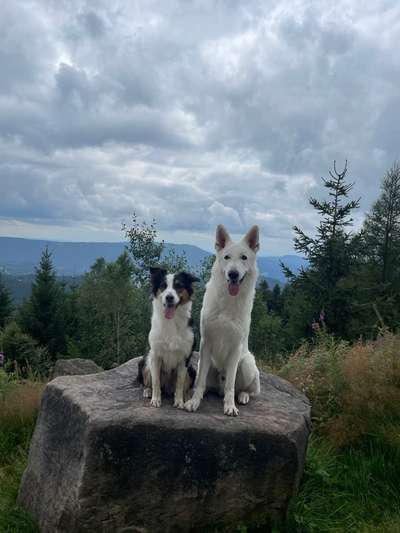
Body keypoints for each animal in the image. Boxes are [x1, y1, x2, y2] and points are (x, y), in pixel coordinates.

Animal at [185, 224, 260, 416]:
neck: (228, 302)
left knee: (249, 390)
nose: (233, 274)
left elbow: (230, 385)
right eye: (226, 257)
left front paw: (229, 405)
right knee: (205, 384)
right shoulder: (206, 342)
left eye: (244, 257)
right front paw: (194, 401)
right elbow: (200, 382)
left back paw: (242, 396)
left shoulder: (235, 348)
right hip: (206, 364)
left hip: (247, 364)